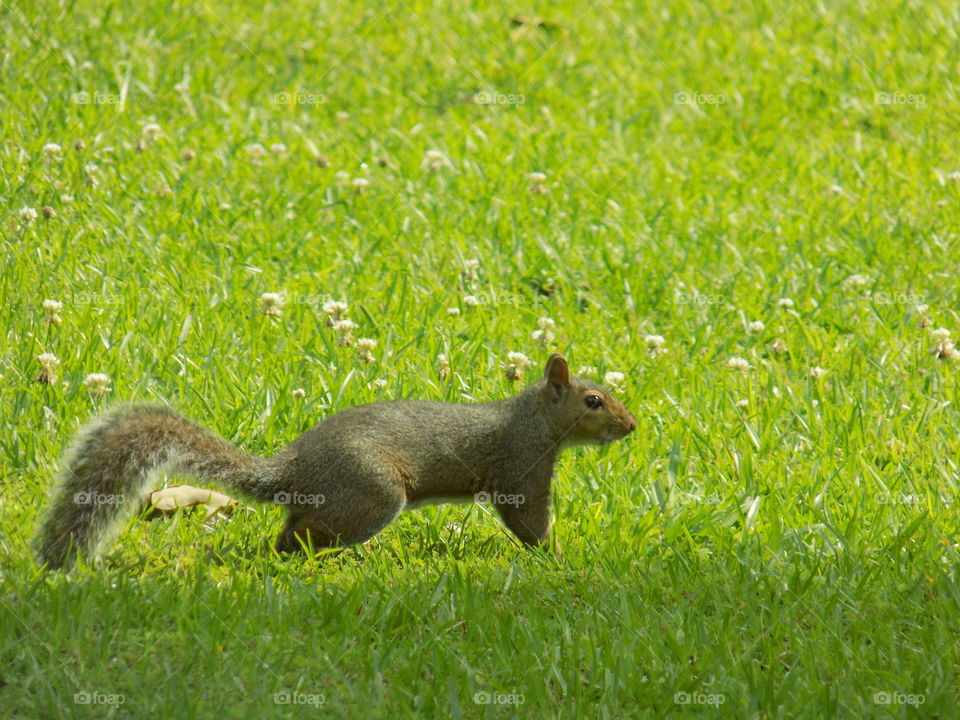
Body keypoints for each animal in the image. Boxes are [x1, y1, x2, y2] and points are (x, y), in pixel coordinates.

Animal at [33, 353, 636, 569]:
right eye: (593, 401)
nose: (631, 427)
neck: (532, 419)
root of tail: (294, 471)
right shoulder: (521, 467)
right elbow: (528, 520)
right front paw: (558, 554)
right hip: (374, 493)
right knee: (298, 537)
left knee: (291, 529)